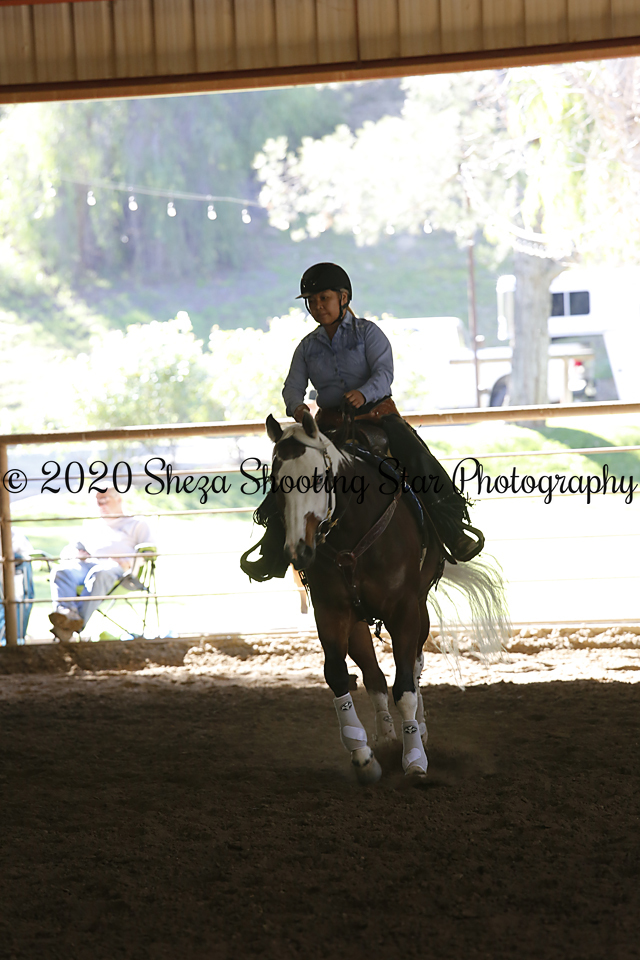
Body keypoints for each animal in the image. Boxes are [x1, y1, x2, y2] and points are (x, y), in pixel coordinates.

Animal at [265, 411, 507, 784]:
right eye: (277, 483)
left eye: (318, 479)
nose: (298, 551)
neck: (352, 537)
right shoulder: (331, 610)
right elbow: (339, 676)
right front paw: (364, 756)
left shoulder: (405, 610)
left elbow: (405, 687)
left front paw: (415, 760)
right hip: (358, 622)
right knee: (374, 676)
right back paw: (386, 736)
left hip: (419, 611)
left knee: (414, 667)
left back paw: (418, 731)